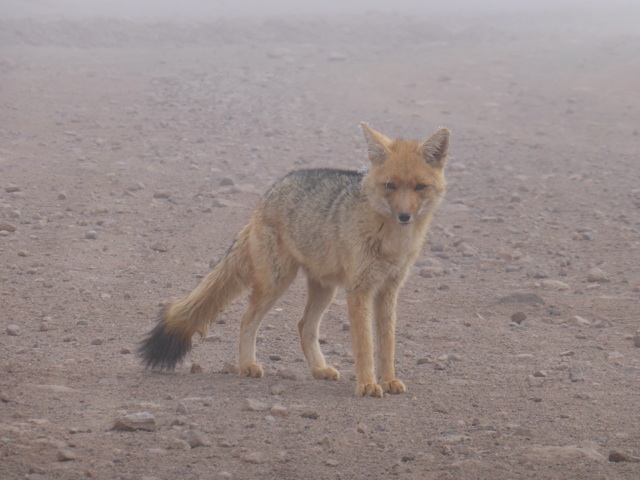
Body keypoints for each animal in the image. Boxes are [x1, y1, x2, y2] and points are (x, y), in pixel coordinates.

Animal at [139, 123, 449, 397]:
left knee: (304, 325)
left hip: (325, 288)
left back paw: (319, 369)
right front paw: (367, 385)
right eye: (390, 186)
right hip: (277, 283)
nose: (404, 216)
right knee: (247, 318)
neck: (393, 240)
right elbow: (364, 345)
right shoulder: (360, 290)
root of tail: (266, 197)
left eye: (419, 187)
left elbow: (386, 344)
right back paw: (247, 365)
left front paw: (389, 381)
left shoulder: (388, 290)